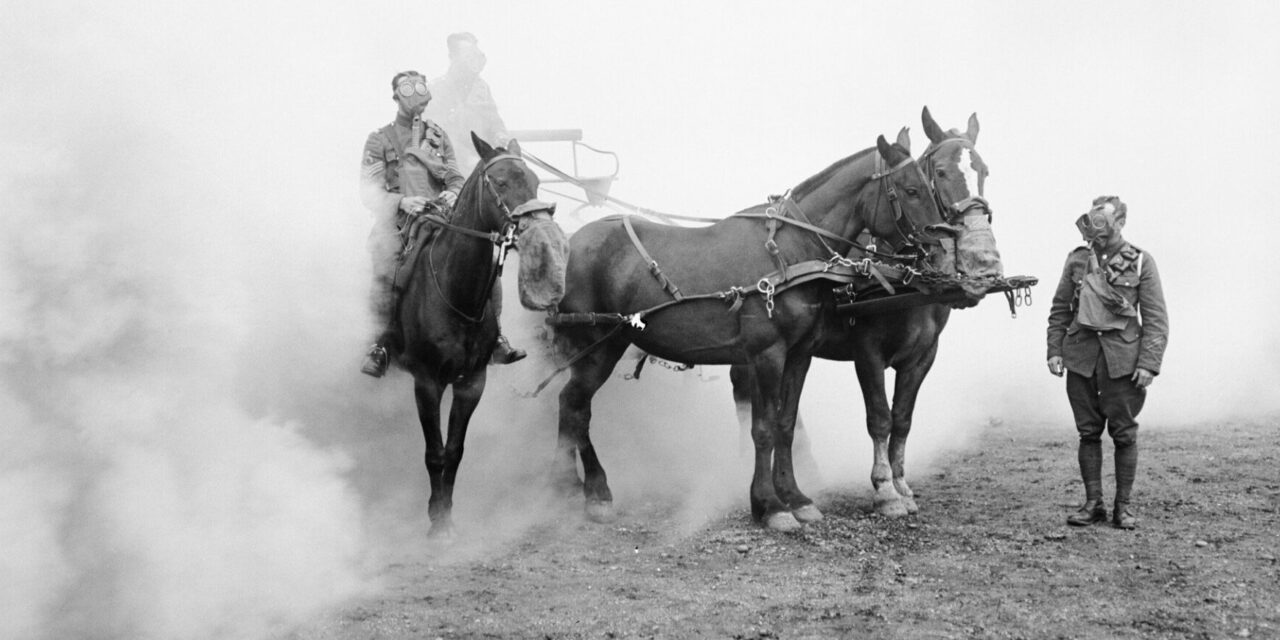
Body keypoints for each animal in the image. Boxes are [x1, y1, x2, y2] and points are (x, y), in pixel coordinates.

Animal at [391, 133, 547, 535]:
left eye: (536, 180)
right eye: (502, 182)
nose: (539, 226)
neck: (454, 291)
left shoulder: (472, 381)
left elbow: (454, 451)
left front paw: (446, 514)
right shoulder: (427, 382)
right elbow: (434, 452)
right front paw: (436, 523)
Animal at [550, 128, 952, 529]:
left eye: (928, 185)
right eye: (911, 189)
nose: (945, 250)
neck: (790, 253)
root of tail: (572, 242)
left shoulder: (799, 354)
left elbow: (785, 425)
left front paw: (795, 497)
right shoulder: (767, 354)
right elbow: (764, 428)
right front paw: (770, 505)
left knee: (574, 409)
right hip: (595, 348)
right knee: (574, 408)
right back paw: (580, 491)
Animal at [732, 106, 998, 514]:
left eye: (982, 170)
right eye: (939, 172)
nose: (980, 257)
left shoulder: (923, 356)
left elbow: (902, 420)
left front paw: (902, 484)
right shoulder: (867, 351)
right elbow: (879, 418)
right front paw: (884, 489)